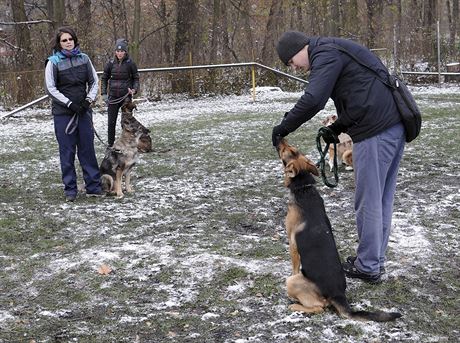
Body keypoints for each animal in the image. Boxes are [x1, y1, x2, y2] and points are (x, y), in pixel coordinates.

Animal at [274, 138, 400, 322]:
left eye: (288, 150)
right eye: (293, 149)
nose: (279, 138)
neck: (304, 188)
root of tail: (338, 295)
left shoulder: (293, 245)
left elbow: (294, 266)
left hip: (292, 281)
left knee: (319, 307)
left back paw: (294, 305)